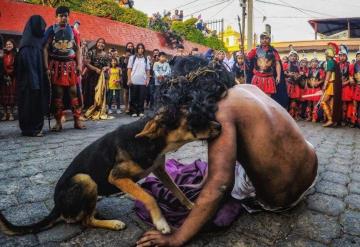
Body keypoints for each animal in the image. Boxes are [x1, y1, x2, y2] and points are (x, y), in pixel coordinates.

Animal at [0, 110, 221, 235]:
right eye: (193, 120)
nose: (220, 125)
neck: (149, 141)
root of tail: (56, 206)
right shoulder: (116, 177)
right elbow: (149, 197)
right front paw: (161, 223)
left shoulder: (159, 169)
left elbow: (178, 191)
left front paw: (192, 206)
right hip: (85, 179)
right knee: (85, 221)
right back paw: (113, 224)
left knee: (85, 216)